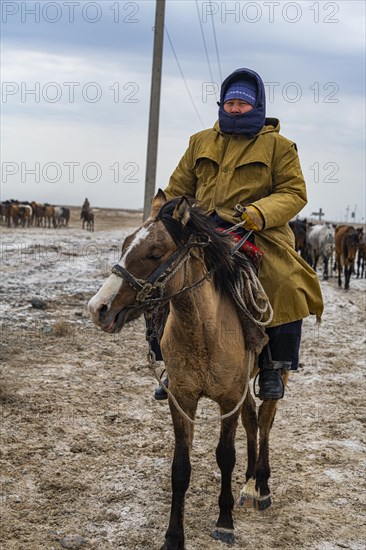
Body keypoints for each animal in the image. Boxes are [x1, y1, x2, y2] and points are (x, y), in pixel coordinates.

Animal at [87, 191, 288, 550]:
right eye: (125, 244)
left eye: (154, 253)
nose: (98, 308)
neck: (204, 332)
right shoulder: (182, 398)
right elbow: (180, 467)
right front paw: (173, 536)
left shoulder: (228, 400)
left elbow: (225, 455)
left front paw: (224, 523)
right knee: (252, 422)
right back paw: (249, 482)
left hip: (273, 378)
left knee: (265, 422)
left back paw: (261, 486)